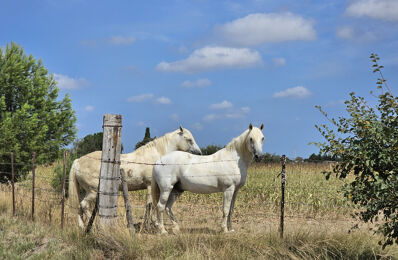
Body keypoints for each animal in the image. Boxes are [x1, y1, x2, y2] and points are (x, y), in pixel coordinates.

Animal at [68, 127, 202, 229]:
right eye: (189, 139)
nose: (199, 153)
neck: (156, 156)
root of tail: (78, 161)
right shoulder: (150, 186)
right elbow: (151, 204)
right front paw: (153, 223)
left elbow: (150, 205)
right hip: (92, 191)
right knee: (84, 205)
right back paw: (95, 224)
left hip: (84, 191)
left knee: (79, 206)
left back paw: (82, 226)